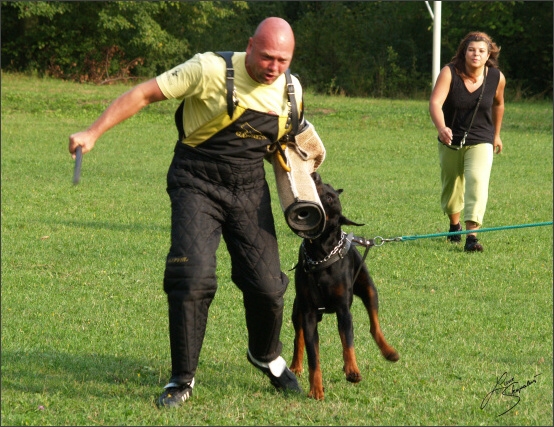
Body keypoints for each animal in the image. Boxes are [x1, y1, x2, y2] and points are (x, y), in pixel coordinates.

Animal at [288, 172, 396, 400]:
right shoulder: (309, 311)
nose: (315, 175)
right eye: (324, 184)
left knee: (374, 325)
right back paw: (295, 365)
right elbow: (313, 353)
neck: (320, 253)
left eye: (331, 198)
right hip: (297, 308)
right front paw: (316, 388)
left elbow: (348, 342)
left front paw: (352, 370)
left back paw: (389, 352)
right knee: (298, 336)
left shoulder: (343, 309)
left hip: (368, 288)